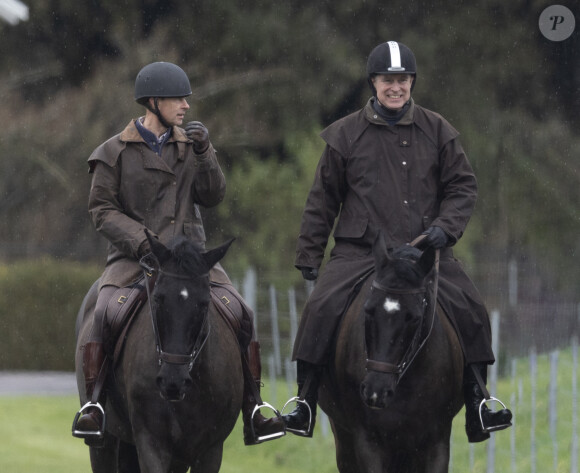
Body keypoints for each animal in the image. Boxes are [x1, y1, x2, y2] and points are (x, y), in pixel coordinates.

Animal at [75, 236, 242, 472]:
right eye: (158, 299)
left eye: (204, 304)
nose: (173, 381)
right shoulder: (151, 441)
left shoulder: (211, 449)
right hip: (105, 441)